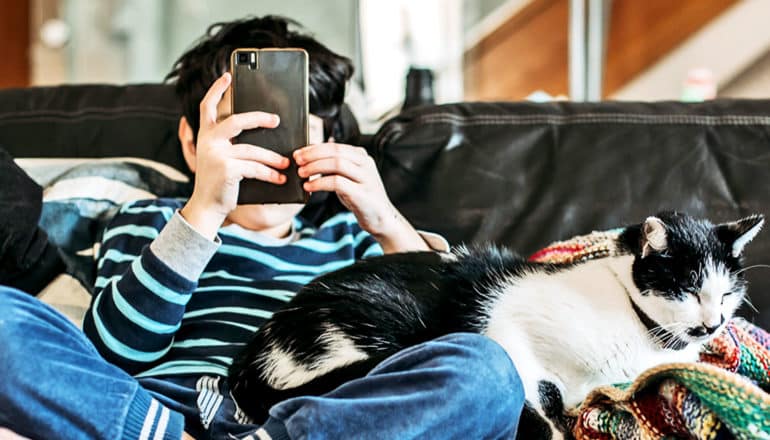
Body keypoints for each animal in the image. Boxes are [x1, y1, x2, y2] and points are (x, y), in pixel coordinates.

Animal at [226, 211, 760, 438]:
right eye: (688, 290)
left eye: (727, 294)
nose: (713, 324)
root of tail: (247, 362)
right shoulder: (506, 328)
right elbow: (541, 411)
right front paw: (551, 428)